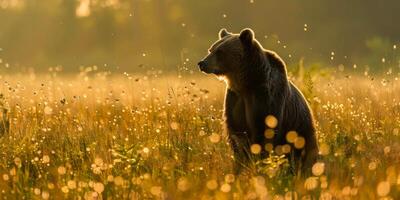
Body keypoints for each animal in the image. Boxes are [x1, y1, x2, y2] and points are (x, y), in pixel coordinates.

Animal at [198, 28, 318, 175]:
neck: (245, 83)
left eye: (220, 52)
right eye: (211, 49)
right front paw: (240, 165)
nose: (202, 63)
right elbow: (237, 134)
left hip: (300, 130)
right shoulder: (235, 100)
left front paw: (260, 164)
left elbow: (265, 131)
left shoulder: (265, 97)